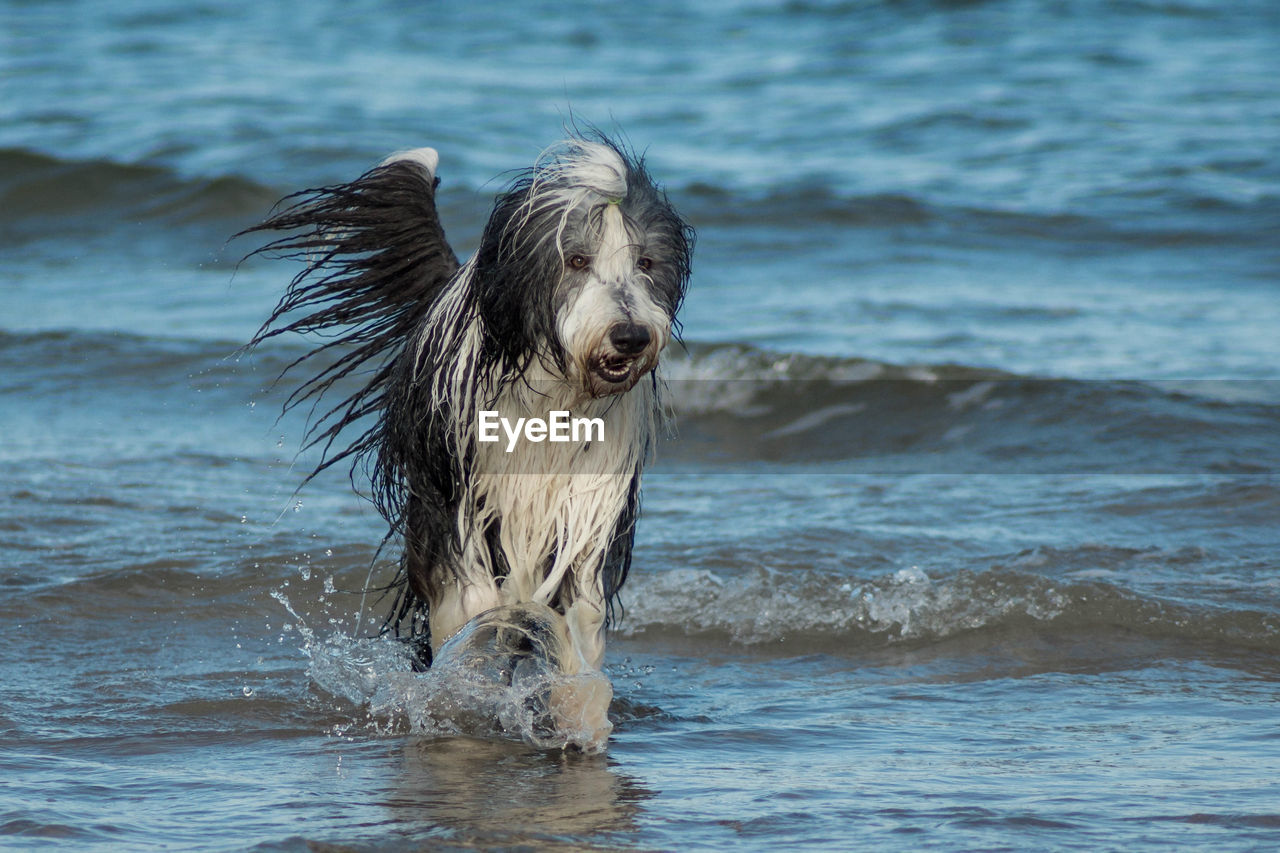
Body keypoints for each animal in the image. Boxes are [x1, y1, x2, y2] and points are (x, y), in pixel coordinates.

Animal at [244, 133, 696, 681]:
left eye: (646, 263)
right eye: (576, 260)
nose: (630, 337)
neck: (557, 395)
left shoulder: (590, 502)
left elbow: (583, 607)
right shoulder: (459, 495)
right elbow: (469, 597)